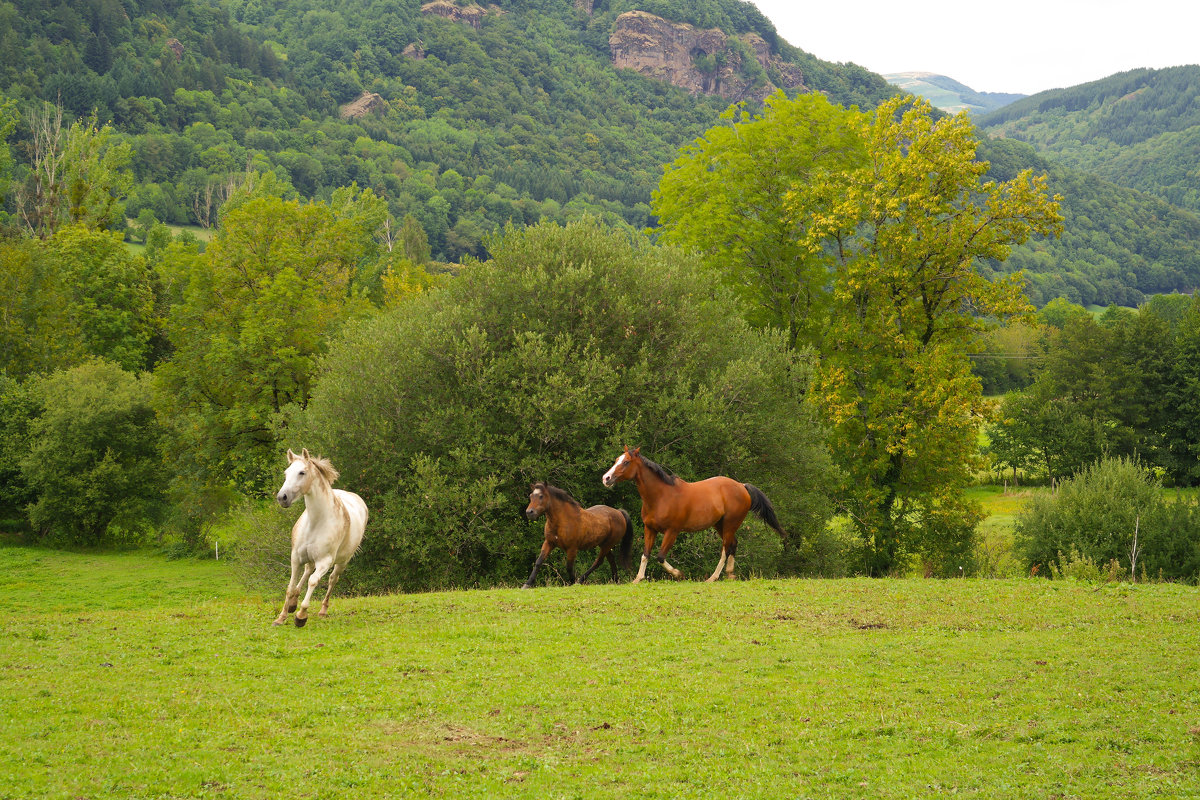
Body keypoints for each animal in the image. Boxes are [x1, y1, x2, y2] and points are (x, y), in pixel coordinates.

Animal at [274, 450, 367, 623]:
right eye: (286, 473)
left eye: (302, 472)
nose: (282, 497)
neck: (316, 522)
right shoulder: (295, 558)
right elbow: (291, 586)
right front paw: (281, 617)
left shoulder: (325, 562)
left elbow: (313, 581)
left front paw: (301, 616)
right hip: (309, 558)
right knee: (307, 571)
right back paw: (293, 603)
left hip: (342, 562)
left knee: (332, 579)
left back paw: (323, 610)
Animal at [600, 443, 787, 582]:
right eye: (617, 460)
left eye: (626, 462)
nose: (606, 478)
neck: (661, 497)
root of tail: (742, 486)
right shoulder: (650, 529)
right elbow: (646, 554)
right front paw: (638, 579)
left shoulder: (672, 531)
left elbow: (660, 557)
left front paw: (678, 574)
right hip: (720, 525)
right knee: (733, 544)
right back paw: (730, 574)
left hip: (730, 524)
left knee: (726, 548)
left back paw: (713, 577)